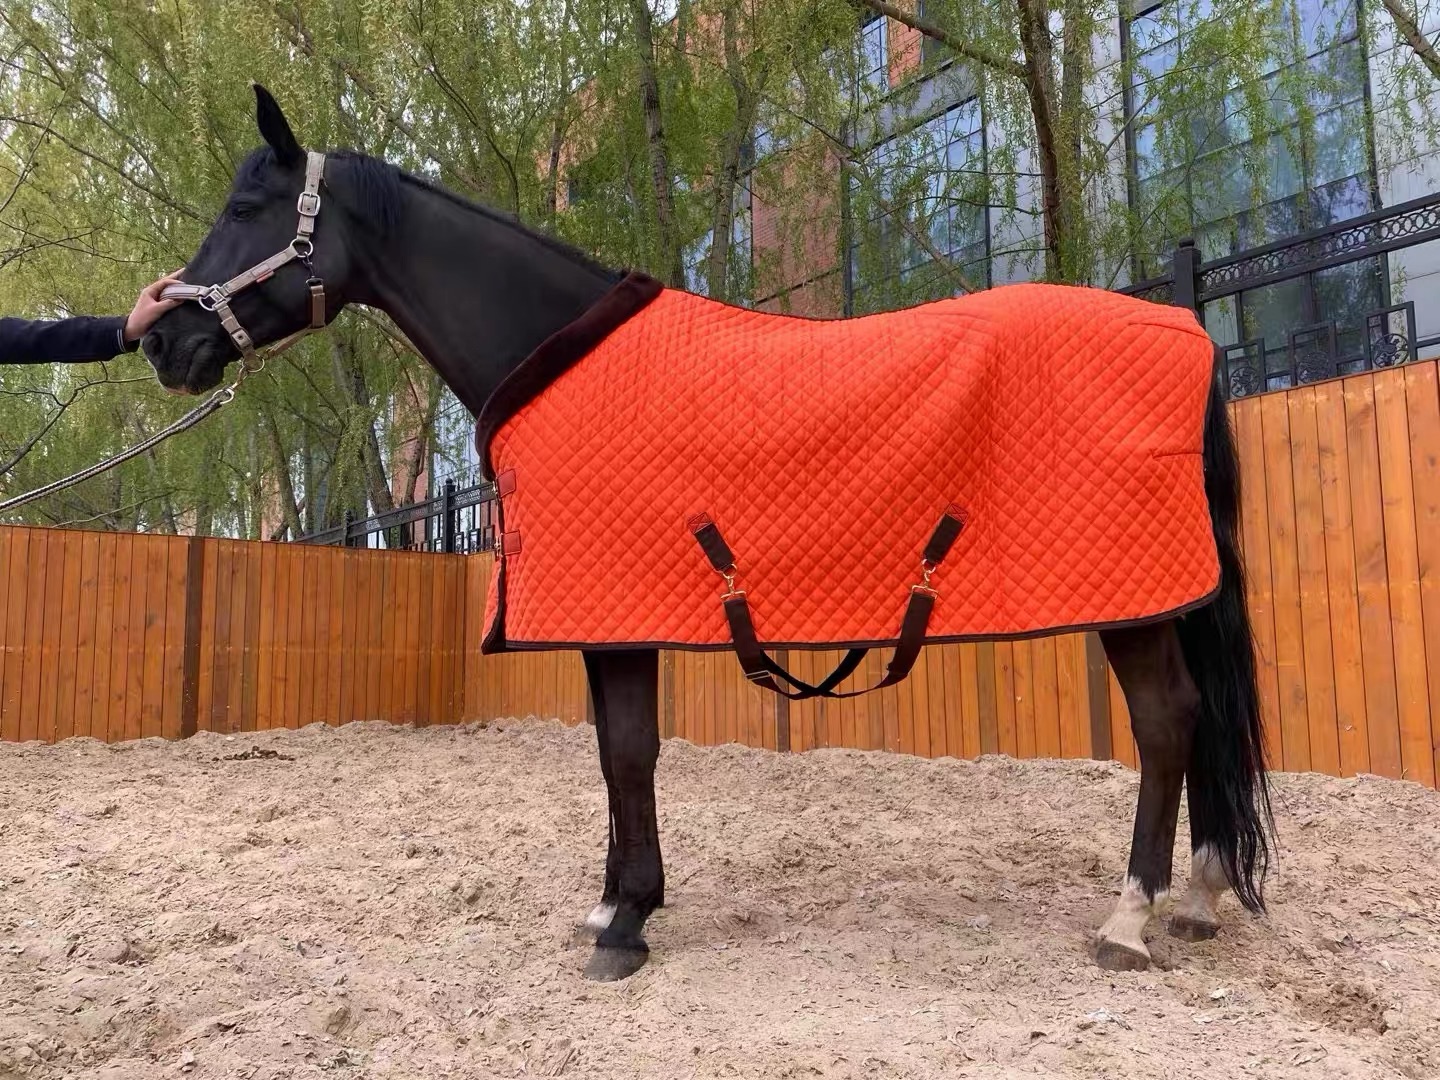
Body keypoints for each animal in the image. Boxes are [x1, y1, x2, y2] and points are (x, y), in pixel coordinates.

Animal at [143, 84, 1274, 982]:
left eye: (245, 208)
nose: (163, 341)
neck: (550, 355)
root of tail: (1184, 328)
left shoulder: (616, 612)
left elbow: (629, 752)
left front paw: (627, 925)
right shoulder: (608, 615)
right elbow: (614, 756)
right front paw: (613, 902)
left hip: (1133, 603)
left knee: (1167, 721)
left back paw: (1130, 917)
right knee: (1196, 720)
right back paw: (1200, 894)